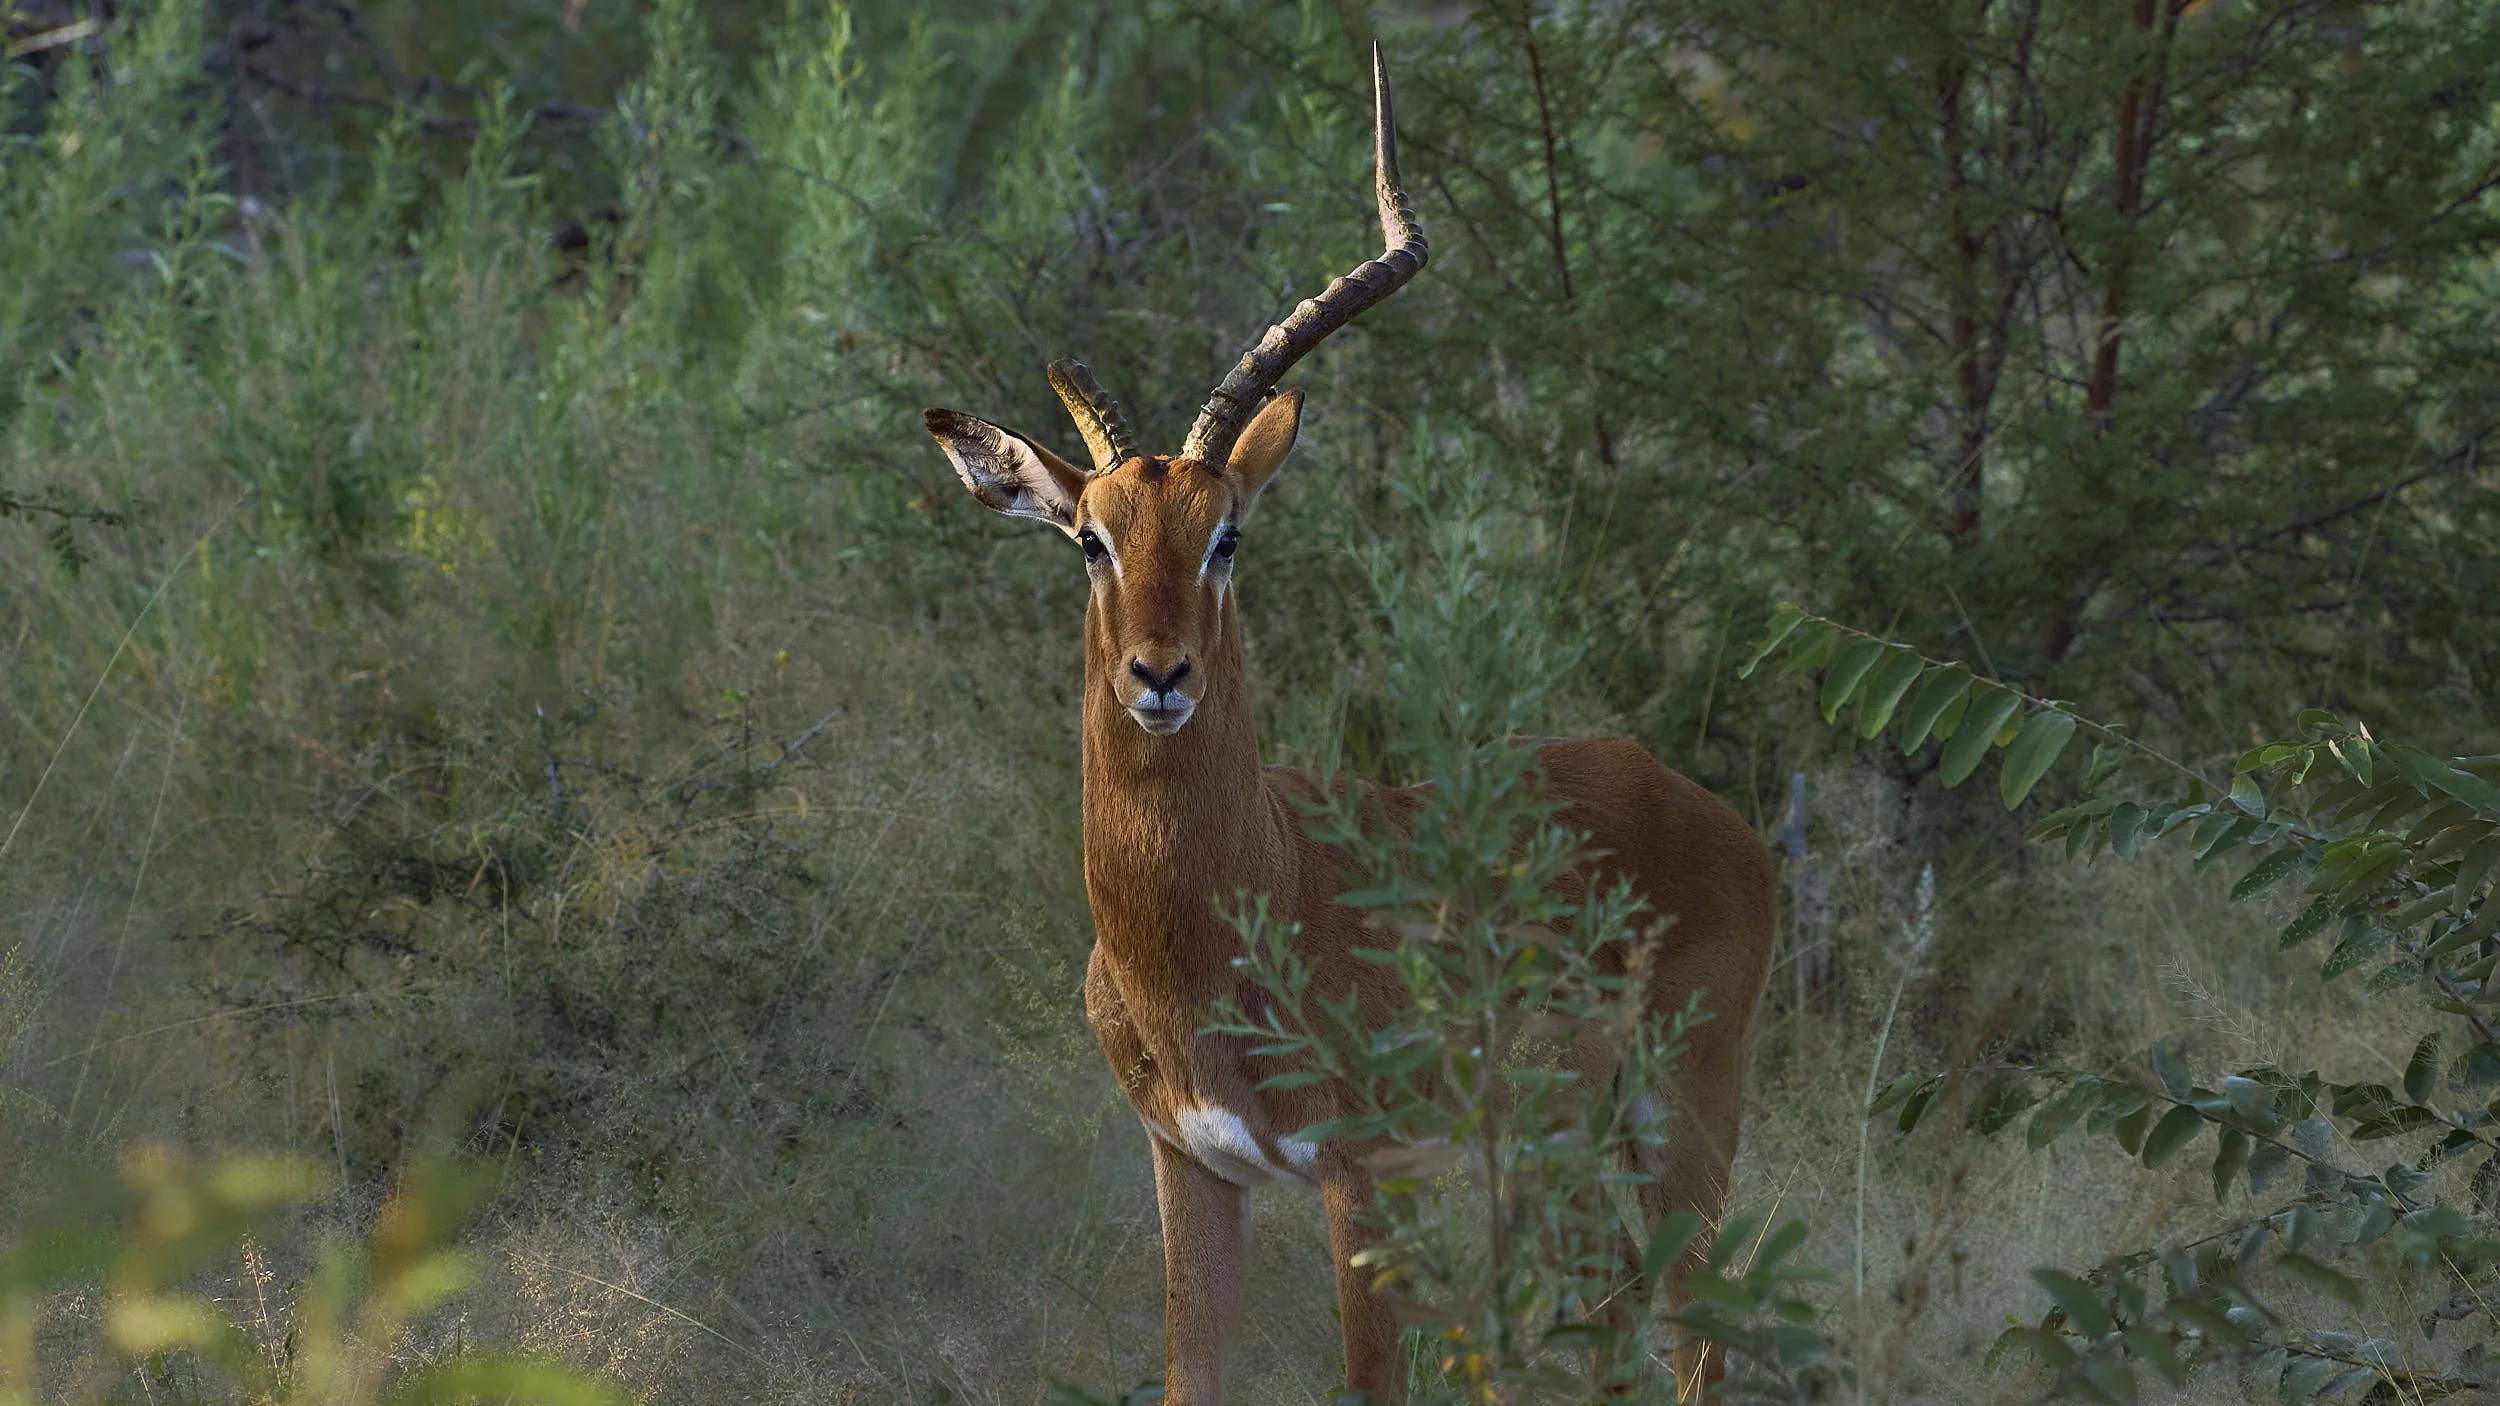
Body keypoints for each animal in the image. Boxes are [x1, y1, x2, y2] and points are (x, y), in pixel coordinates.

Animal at [922, 47, 1775, 1403]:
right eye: (1090, 536)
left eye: (1227, 533)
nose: (1159, 674)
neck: (1233, 908)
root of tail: (1693, 801)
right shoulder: (1191, 1164)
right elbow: (1193, 1372)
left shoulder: (1362, 1175)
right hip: (1557, 1159)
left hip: (1679, 1115)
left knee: (1695, 1327)